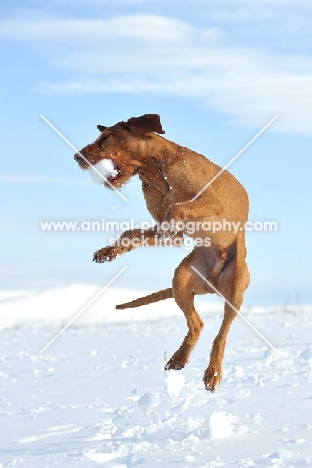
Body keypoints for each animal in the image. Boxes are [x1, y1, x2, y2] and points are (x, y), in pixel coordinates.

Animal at [74, 113, 250, 392]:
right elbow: (131, 233)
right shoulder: (170, 233)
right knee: (197, 325)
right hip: (181, 279)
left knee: (221, 335)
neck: (157, 171)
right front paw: (109, 251)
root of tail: (212, 283)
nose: (76, 157)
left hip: (235, 289)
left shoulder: (211, 203)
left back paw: (212, 373)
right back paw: (179, 358)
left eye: (107, 137)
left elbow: (177, 208)